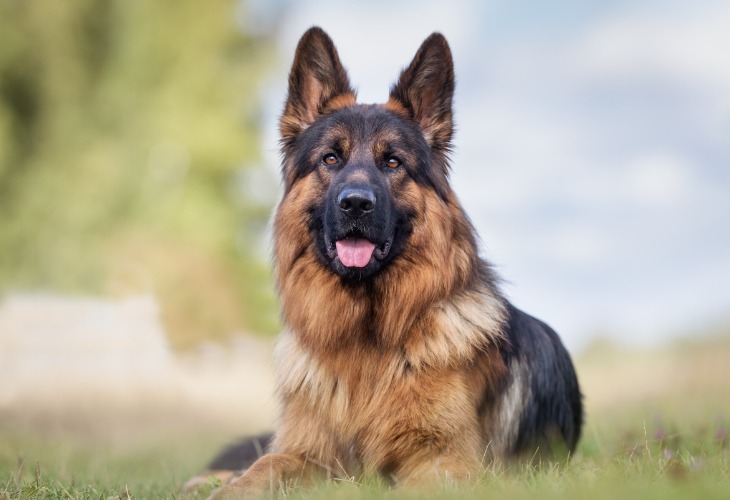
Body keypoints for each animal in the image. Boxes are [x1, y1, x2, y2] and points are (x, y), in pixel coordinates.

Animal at [198, 26, 580, 496]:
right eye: (331, 158)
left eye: (393, 161)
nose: (355, 204)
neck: (366, 342)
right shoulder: (308, 452)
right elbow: (262, 466)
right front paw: (227, 487)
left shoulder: (446, 462)